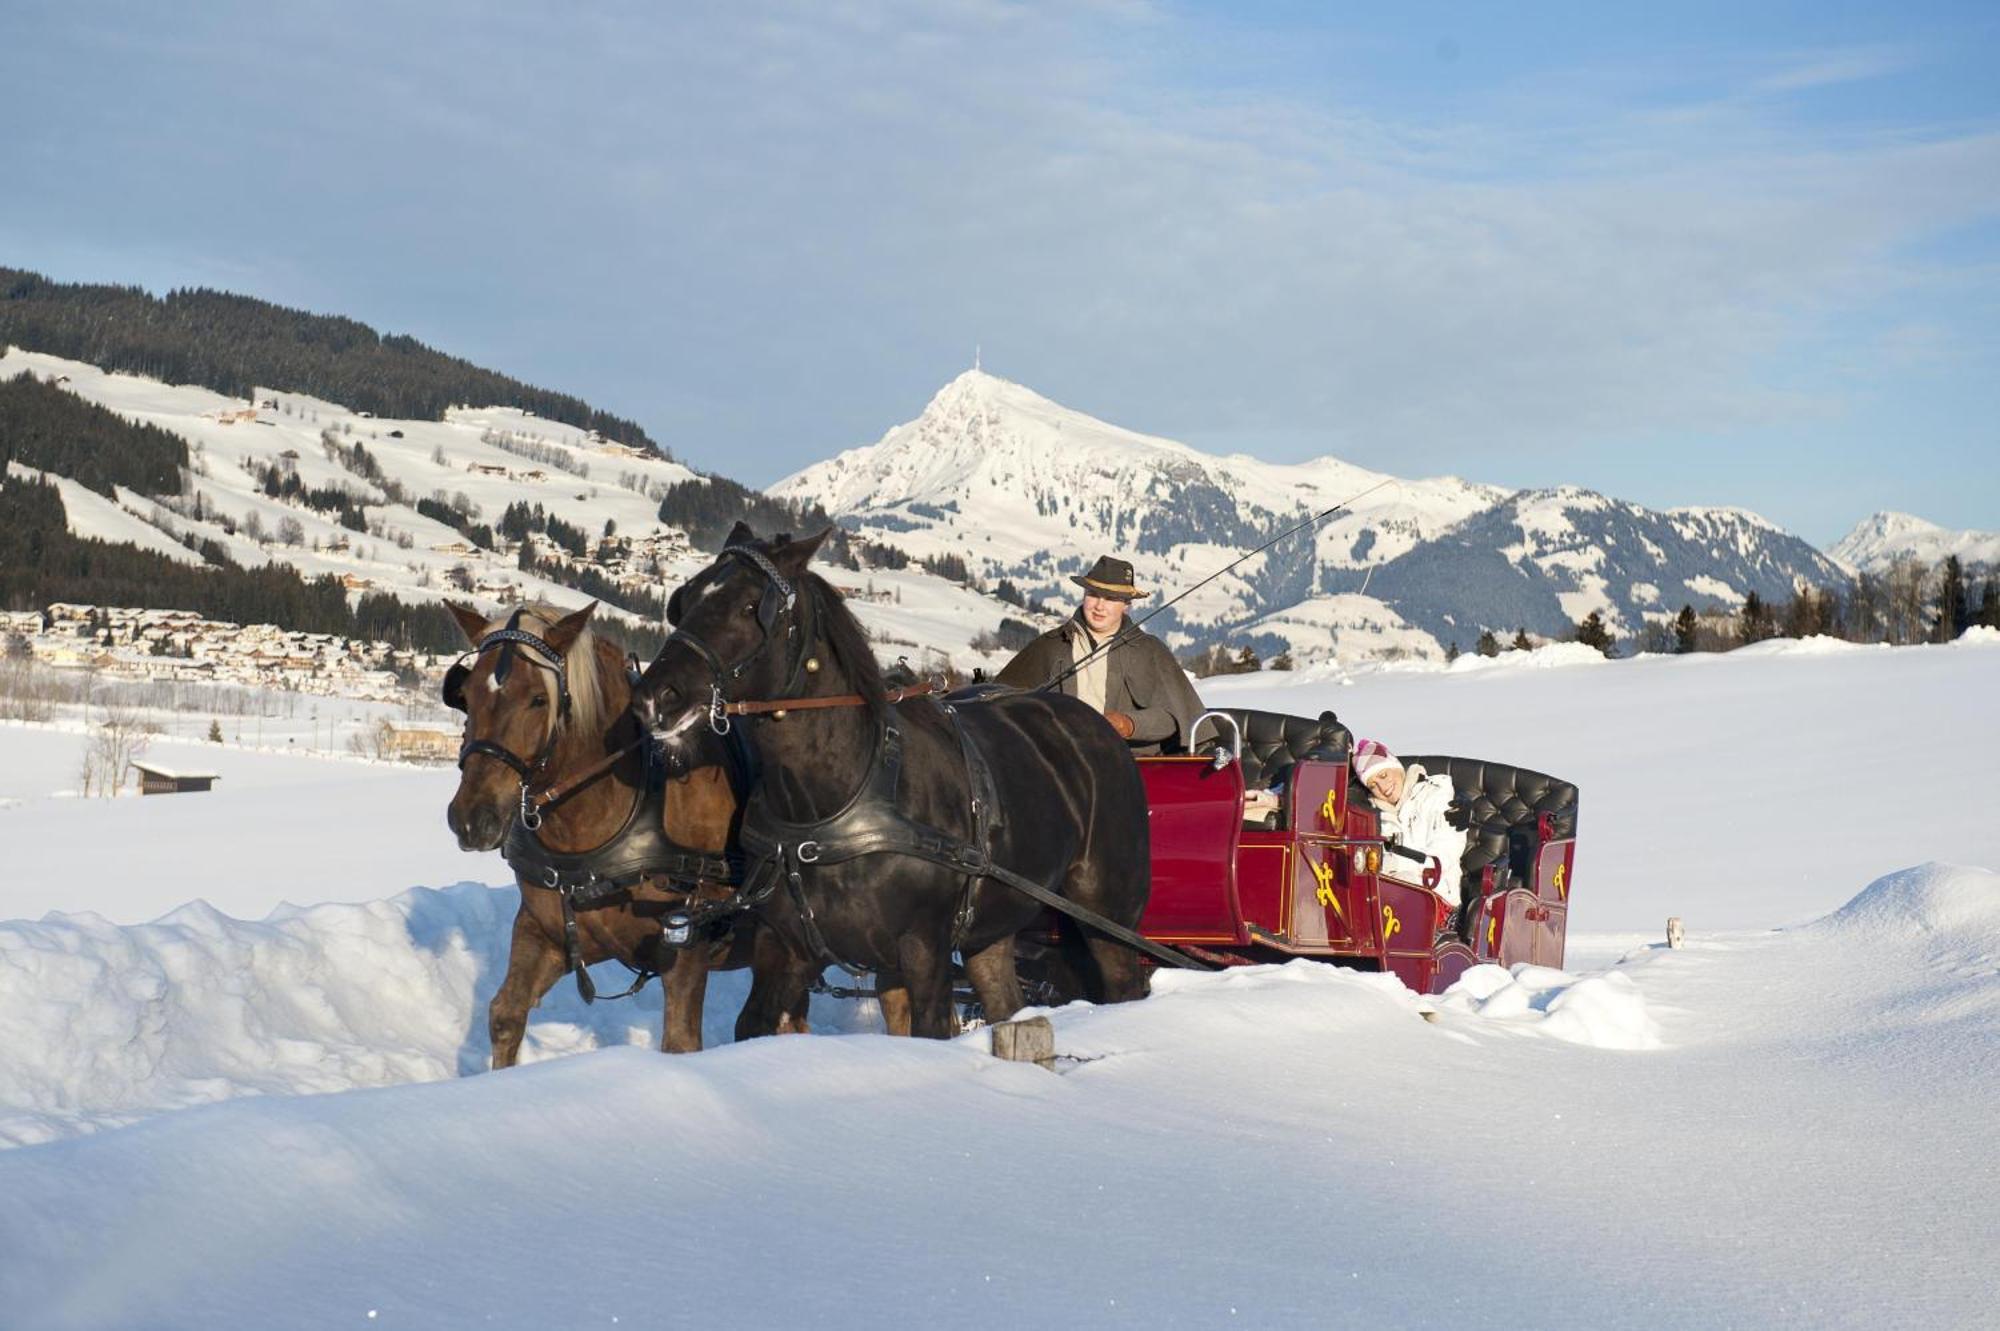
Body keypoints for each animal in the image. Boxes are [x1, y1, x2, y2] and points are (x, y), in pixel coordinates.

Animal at [444, 595, 812, 1063]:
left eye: (537, 699)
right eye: (466, 695)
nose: (471, 818)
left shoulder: (687, 952)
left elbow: (680, 1042)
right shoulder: (545, 932)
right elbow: (505, 1015)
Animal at [632, 523, 1152, 1031]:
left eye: (748, 606)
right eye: (686, 598)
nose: (654, 697)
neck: (835, 799)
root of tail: (1099, 729)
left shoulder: (925, 952)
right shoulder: (785, 947)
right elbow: (754, 1024)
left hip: (1108, 916)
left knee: (1125, 986)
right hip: (992, 929)